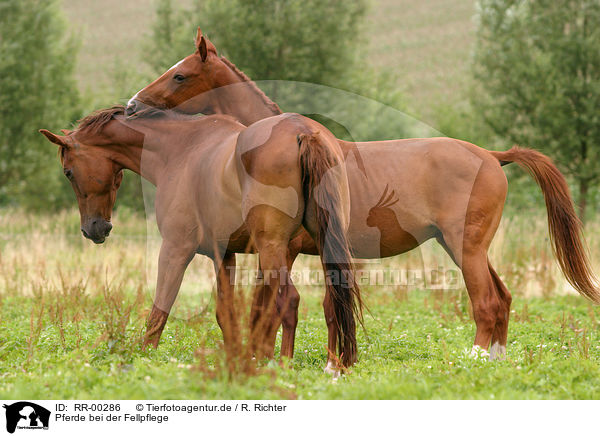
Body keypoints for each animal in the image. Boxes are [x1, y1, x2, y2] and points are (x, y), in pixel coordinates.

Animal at [42, 106, 364, 368]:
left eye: (68, 172)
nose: (94, 229)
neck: (181, 150)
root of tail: (303, 130)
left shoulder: (175, 249)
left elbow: (159, 311)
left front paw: (145, 359)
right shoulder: (224, 255)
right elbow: (226, 314)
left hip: (273, 250)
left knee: (291, 302)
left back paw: (283, 367)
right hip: (320, 247)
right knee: (334, 302)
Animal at [126, 27, 600, 368]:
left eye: (180, 74)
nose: (132, 106)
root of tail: (492, 156)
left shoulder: (285, 250)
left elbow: (289, 306)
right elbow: (312, 307)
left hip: (466, 248)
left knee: (485, 302)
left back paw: (477, 357)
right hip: (466, 248)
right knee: (502, 298)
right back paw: (496, 359)